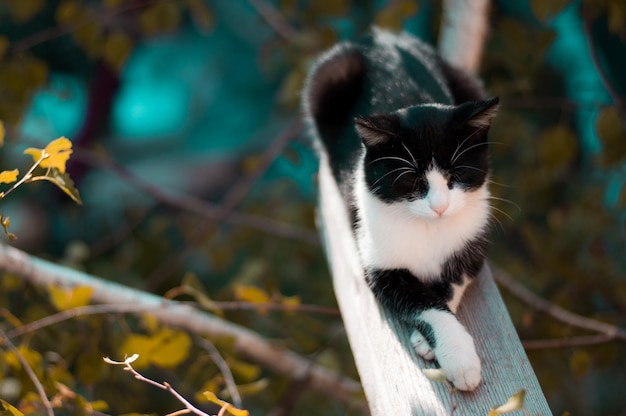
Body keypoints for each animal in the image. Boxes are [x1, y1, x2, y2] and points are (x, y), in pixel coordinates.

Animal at [302, 27, 498, 392]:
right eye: (412, 180)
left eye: (457, 175)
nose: (440, 207)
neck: (428, 228)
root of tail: (380, 37)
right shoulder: (379, 262)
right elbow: (422, 302)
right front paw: (459, 358)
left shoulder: (472, 241)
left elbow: (450, 285)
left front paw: (429, 343)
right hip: (327, 77)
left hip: (467, 82)